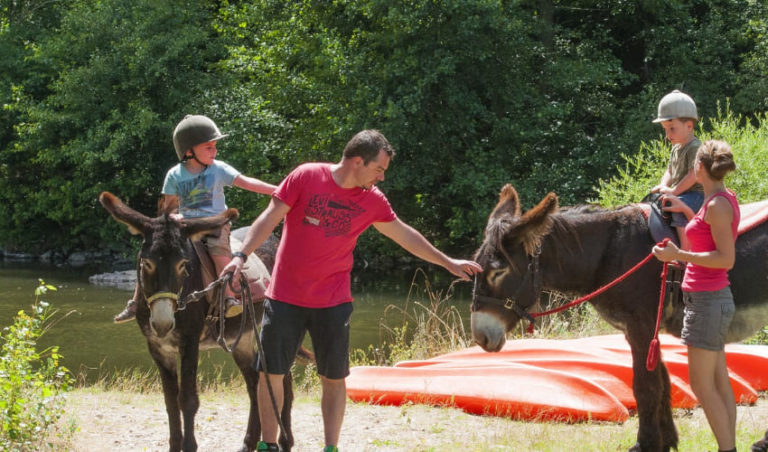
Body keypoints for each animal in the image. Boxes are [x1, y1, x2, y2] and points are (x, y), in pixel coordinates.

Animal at [99, 191, 296, 452]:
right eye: (146, 263)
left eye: (183, 265)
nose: (163, 323)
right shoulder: (158, 347)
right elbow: (170, 401)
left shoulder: (190, 343)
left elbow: (188, 400)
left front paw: (189, 445)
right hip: (242, 339)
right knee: (255, 382)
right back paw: (249, 442)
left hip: (271, 330)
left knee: (282, 380)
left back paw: (285, 440)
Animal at [470, 184, 768, 452]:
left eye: (498, 272)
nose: (479, 337)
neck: (609, 252)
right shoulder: (643, 329)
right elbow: (662, 382)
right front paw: (666, 442)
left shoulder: (641, 327)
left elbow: (645, 387)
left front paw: (645, 445)